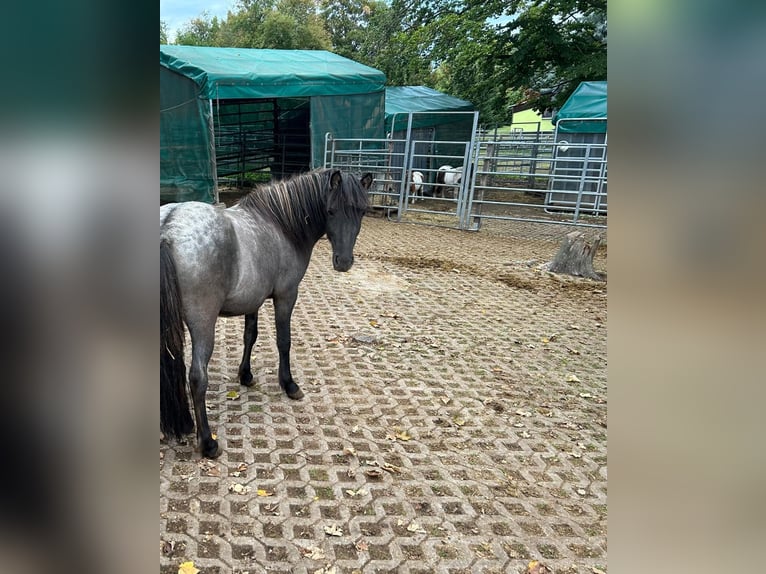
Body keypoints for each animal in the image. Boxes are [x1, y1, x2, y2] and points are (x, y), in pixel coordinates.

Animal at [160, 168, 372, 458]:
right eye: (331, 210)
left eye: (361, 211)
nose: (344, 262)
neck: (280, 225)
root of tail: (168, 227)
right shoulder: (286, 296)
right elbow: (283, 341)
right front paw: (289, 384)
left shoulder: (253, 301)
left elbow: (250, 336)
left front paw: (246, 375)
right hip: (203, 324)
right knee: (197, 377)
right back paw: (208, 442)